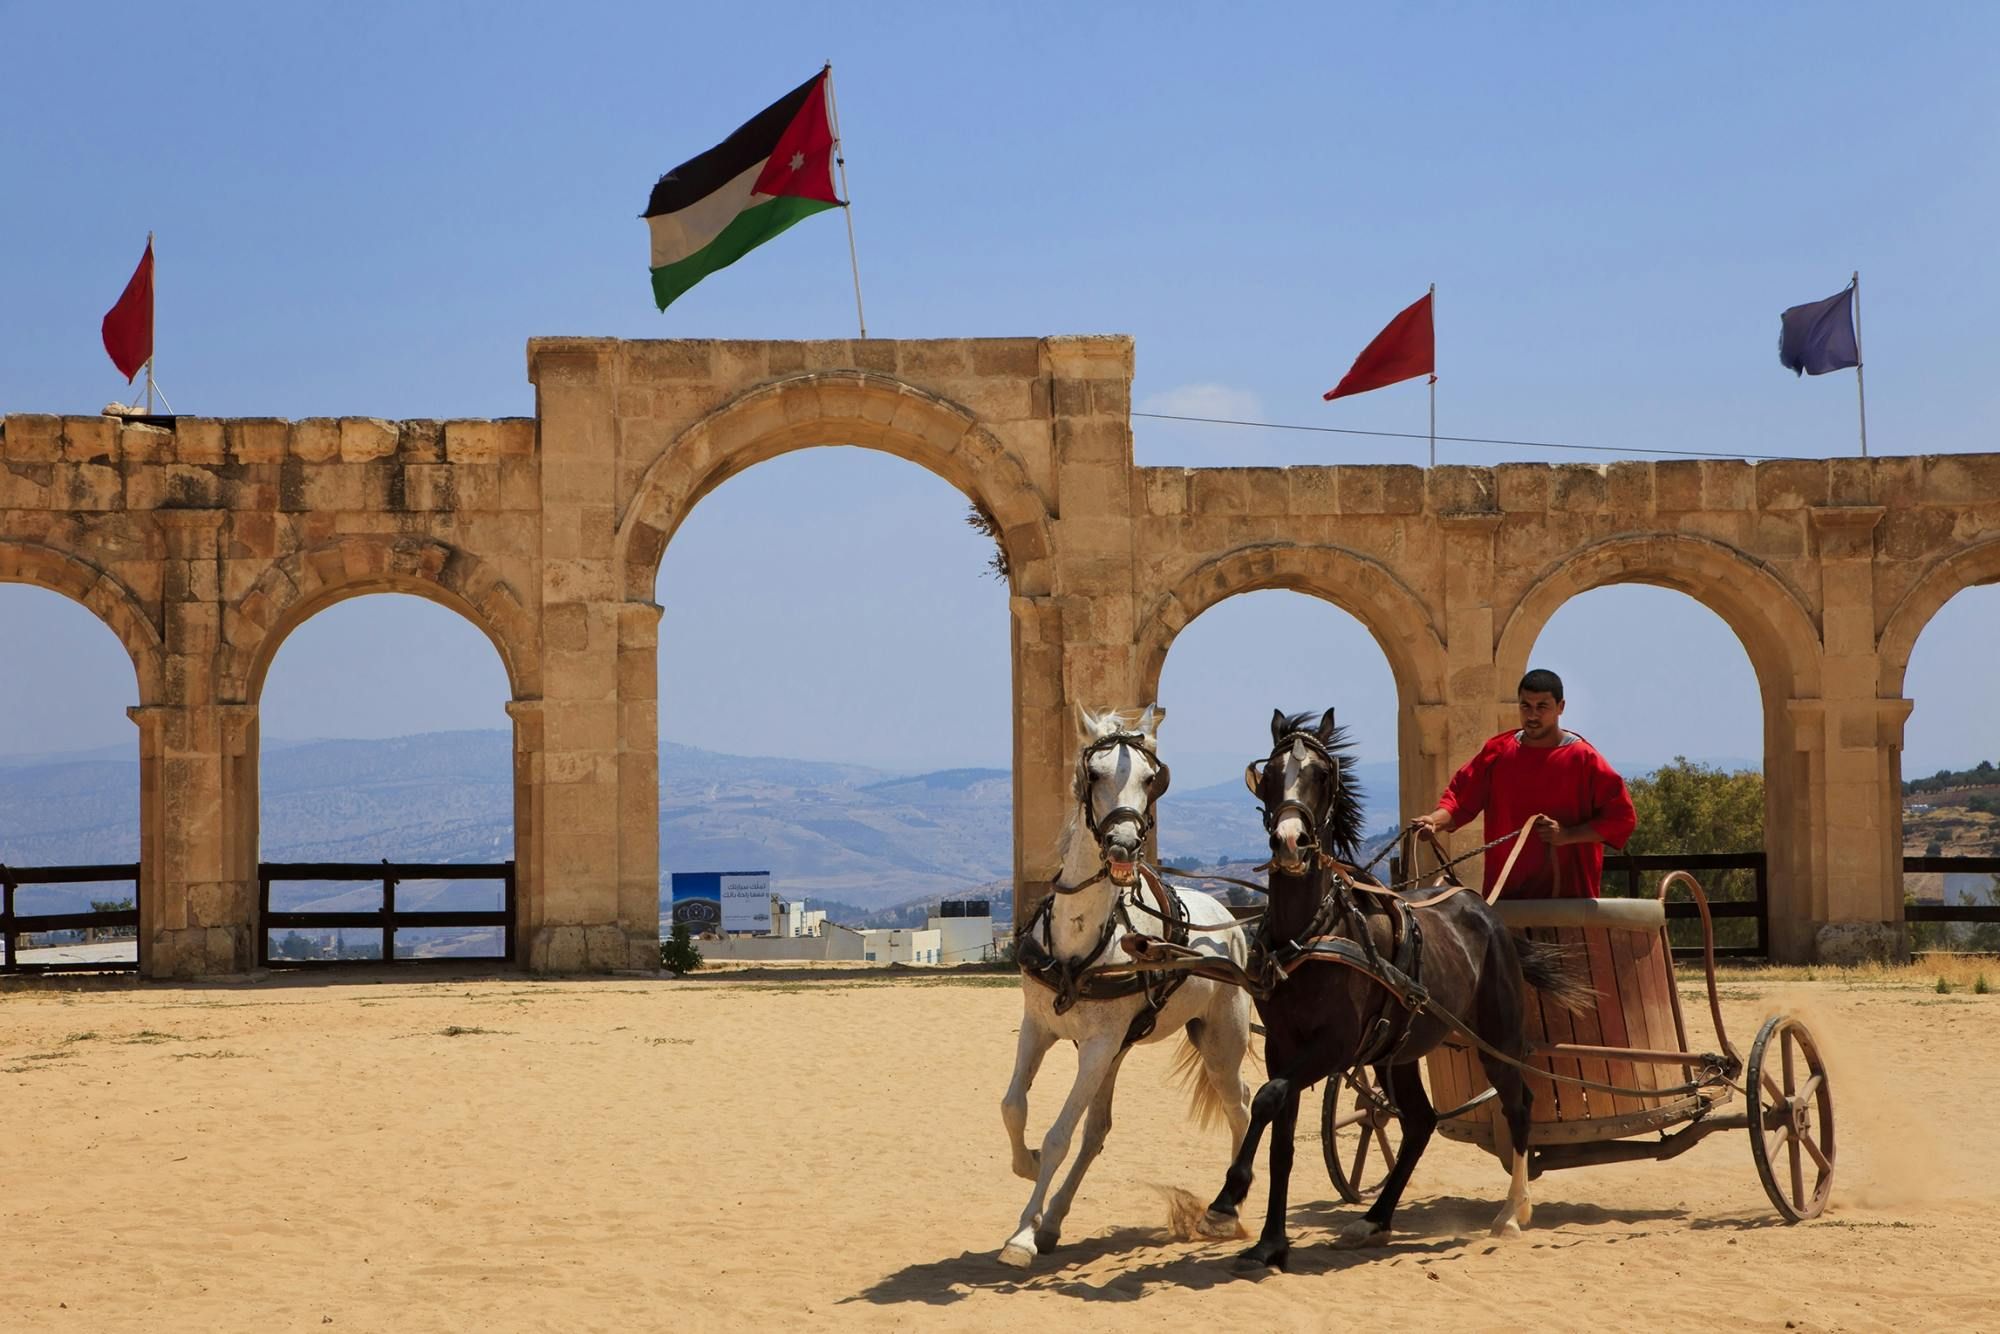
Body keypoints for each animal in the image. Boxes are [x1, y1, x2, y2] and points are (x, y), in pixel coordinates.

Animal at [996, 704, 1256, 1272]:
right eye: (1093, 776)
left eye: (1150, 779)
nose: (1123, 846)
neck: (1080, 938)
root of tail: (1226, 920)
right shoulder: (1040, 1026)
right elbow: (1014, 1107)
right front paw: (1026, 1169)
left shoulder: (1097, 1045)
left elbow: (1059, 1135)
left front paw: (1022, 1234)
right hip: (1119, 1052)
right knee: (1098, 1130)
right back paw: (1055, 1220)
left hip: (1219, 1041)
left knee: (1241, 1105)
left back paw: (1228, 1213)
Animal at [1192, 708, 1584, 1272]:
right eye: (1268, 774)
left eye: (1321, 775)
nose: (1290, 842)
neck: (1312, 932)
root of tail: (1483, 909)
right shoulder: (1282, 1046)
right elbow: (1282, 1139)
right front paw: (1270, 1243)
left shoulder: (1332, 1047)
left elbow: (1266, 1100)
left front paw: (1226, 1202)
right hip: (1394, 1054)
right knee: (1420, 1122)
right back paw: (1373, 1220)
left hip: (1498, 1038)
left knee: (1519, 1104)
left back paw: (1512, 1213)